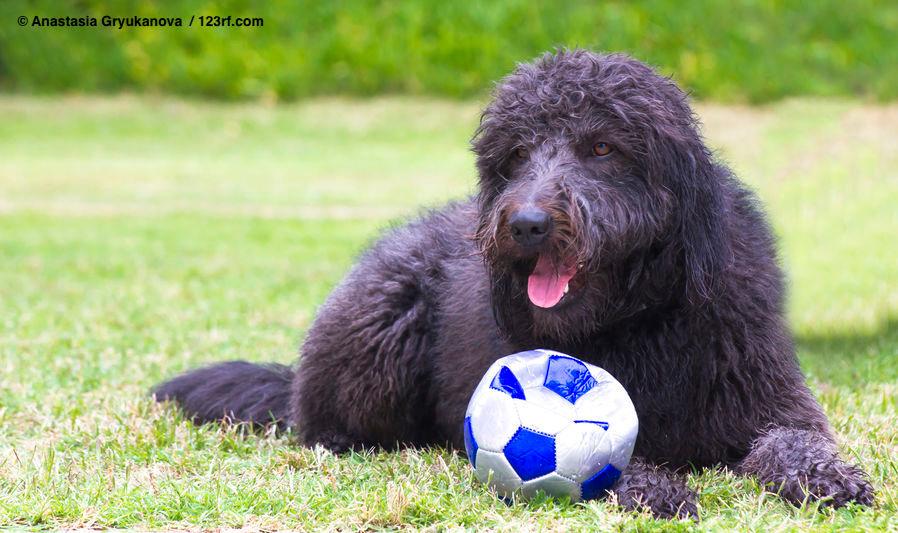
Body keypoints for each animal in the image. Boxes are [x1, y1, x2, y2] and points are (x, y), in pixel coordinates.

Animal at [158, 48, 872, 516]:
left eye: (603, 147)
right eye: (517, 154)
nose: (526, 224)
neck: (638, 318)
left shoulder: (769, 401)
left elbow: (793, 441)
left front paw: (827, 478)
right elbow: (613, 459)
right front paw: (655, 486)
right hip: (379, 329)